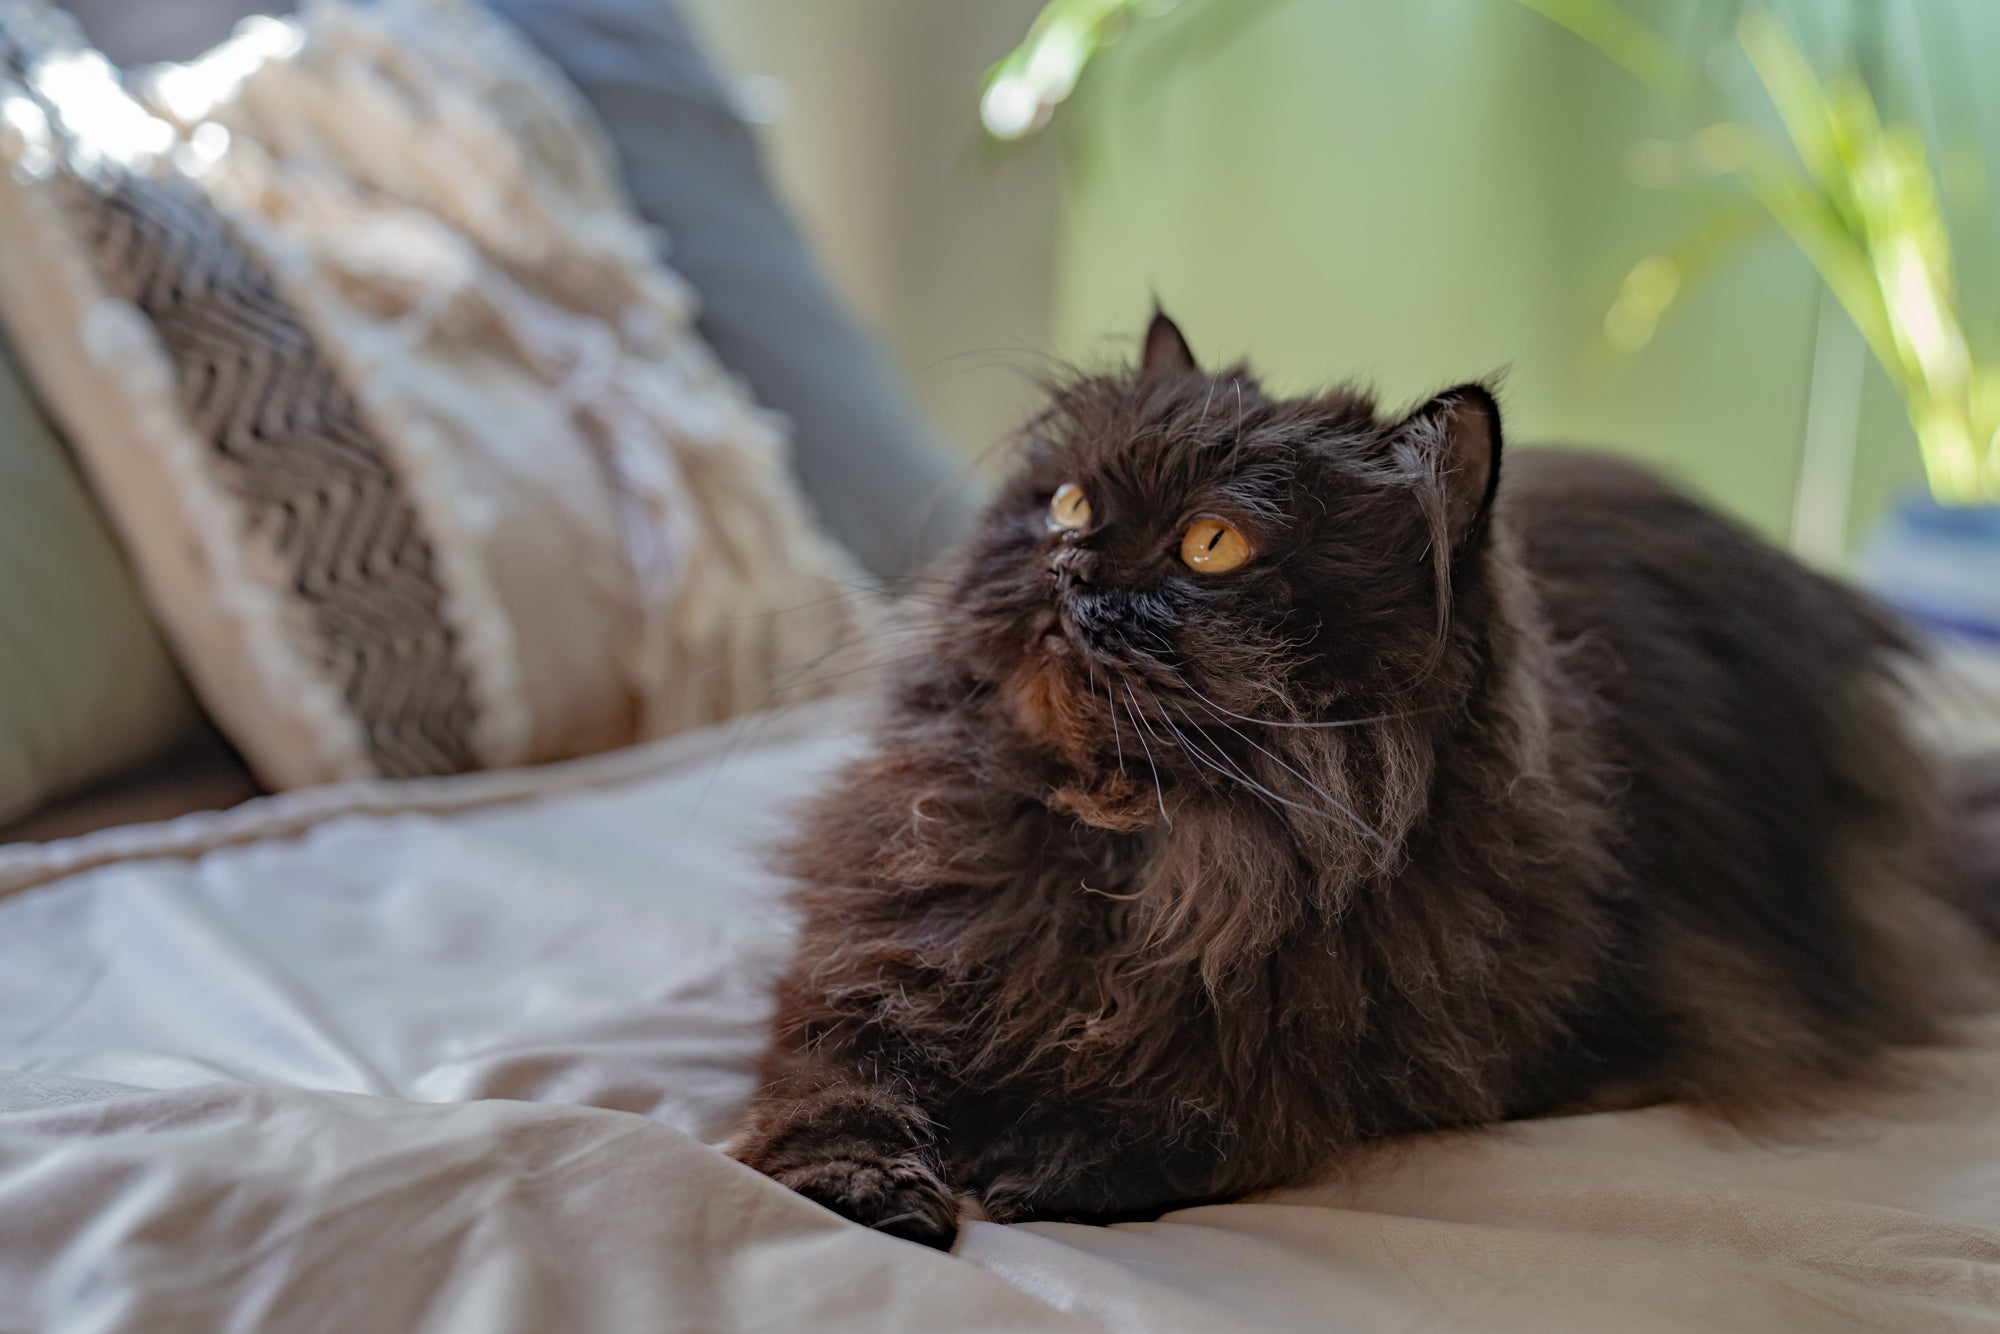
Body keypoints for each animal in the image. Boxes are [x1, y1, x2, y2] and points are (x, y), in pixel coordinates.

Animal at [736, 314, 2000, 1256]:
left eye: (1209, 546)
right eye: (1067, 503)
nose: (1066, 566)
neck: (1141, 848)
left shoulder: (1461, 1045)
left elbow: (1235, 1095)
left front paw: (1057, 1153)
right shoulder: (890, 938)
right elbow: (834, 1062)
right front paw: (852, 1185)